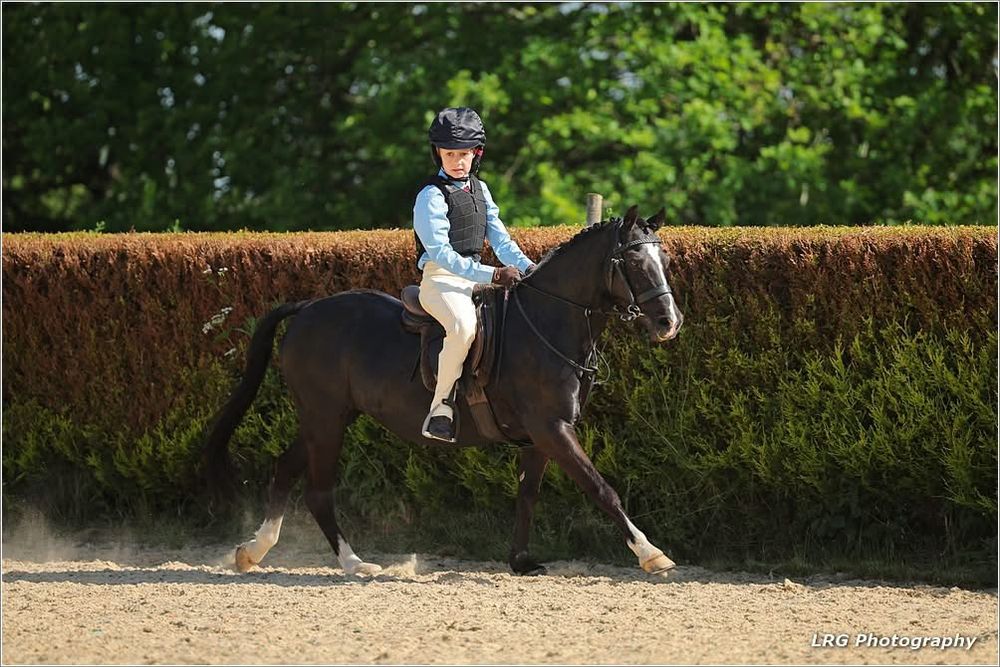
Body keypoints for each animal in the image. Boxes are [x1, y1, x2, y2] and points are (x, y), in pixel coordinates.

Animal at [203, 204, 684, 577]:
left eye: (664, 260)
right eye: (634, 263)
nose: (669, 323)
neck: (547, 323)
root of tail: (307, 308)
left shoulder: (541, 437)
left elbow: (527, 495)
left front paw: (520, 560)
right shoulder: (552, 428)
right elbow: (601, 488)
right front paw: (652, 554)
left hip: (329, 417)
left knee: (285, 468)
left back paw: (253, 551)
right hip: (326, 419)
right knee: (318, 491)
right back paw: (354, 563)